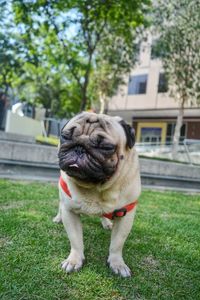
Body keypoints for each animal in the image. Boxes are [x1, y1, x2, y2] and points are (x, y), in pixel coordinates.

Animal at [53, 111, 141, 278]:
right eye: (66, 136)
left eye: (106, 147)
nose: (80, 148)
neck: (95, 187)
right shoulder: (69, 212)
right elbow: (75, 240)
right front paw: (74, 260)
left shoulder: (126, 215)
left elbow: (117, 243)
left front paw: (117, 263)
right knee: (60, 203)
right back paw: (58, 218)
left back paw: (106, 223)